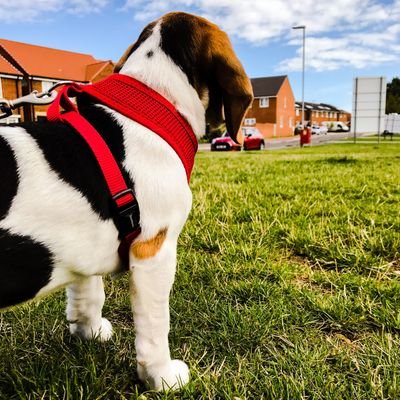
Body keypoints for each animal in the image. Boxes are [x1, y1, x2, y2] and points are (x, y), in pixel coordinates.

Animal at [0, 10, 252, 390]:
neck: (150, 103)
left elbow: (88, 292)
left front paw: (88, 330)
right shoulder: (154, 251)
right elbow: (155, 324)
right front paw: (161, 376)